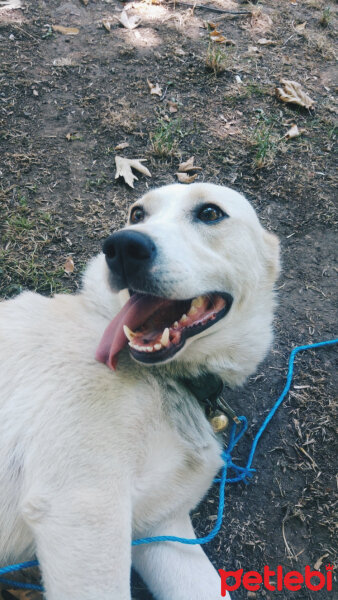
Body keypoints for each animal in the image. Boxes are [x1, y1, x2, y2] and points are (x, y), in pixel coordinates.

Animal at [0, 184, 280, 600]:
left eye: (210, 213)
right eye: (137, 214)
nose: (122, 247)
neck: (165, 380)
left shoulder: (161, 530)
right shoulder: (83, 508)